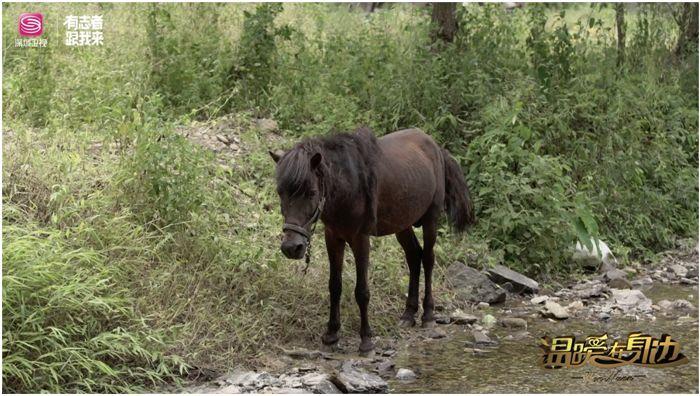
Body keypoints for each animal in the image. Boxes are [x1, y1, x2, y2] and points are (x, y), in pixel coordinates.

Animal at [270, 127, 474, 352]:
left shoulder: (360, 240)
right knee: (414, 257)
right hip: (402, 224)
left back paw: (428, 314)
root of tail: (437, 148)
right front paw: (331, 334)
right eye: (280, 192)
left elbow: (362, 291)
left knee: (428, 260)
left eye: (311, 192)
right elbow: (335, 286)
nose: (292, 247)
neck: (349, 184)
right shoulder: (333, 237)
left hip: (431, 219)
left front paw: (366, 339)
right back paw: (408, 314)